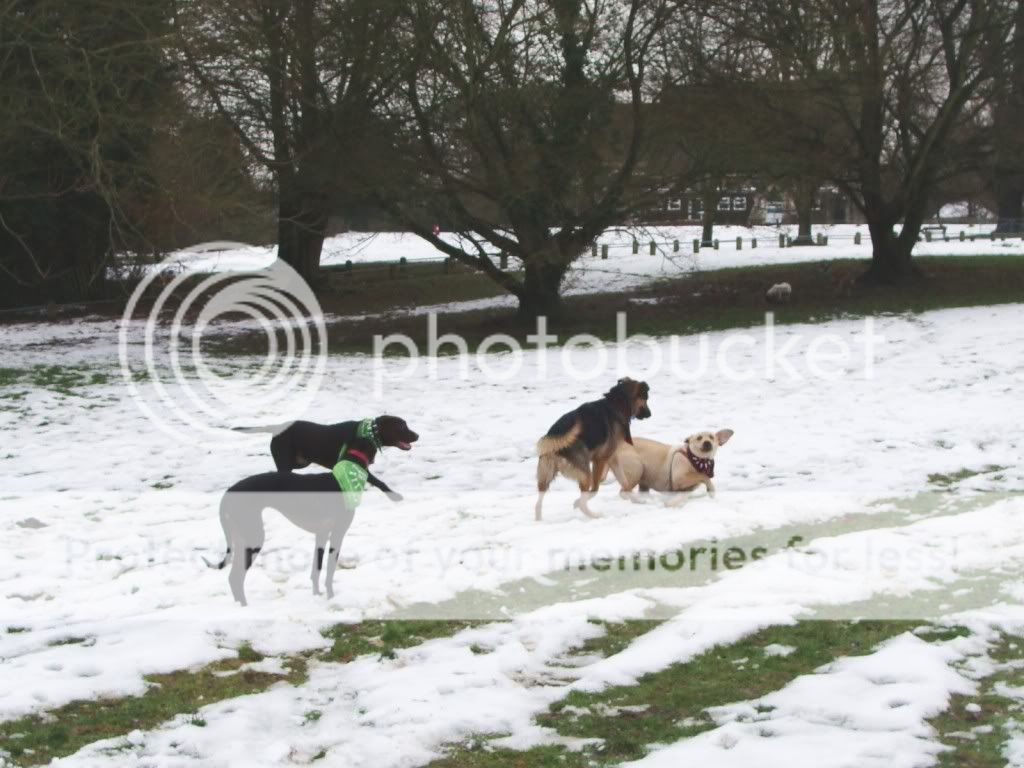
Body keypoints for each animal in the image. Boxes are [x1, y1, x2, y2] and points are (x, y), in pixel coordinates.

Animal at [234, 417, 415, 501]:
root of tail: (277, 427)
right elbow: (379, 482)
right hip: (287, 461)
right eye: (402, 426)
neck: (369, 433)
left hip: (300, 461)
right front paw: (394, 496)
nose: (418, 435)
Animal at [536, 378, 647, 524]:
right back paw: (594, 515)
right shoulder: (600, 460)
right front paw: (577, 502)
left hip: (546, 476)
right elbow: (595, 489)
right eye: (646, 398)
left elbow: (625, 482)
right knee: (584, 502)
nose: (649, 414)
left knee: (538, 504)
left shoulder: (612, 458)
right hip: (585, 473)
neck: (615, 403)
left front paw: (635, 499)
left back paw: (538, 521)